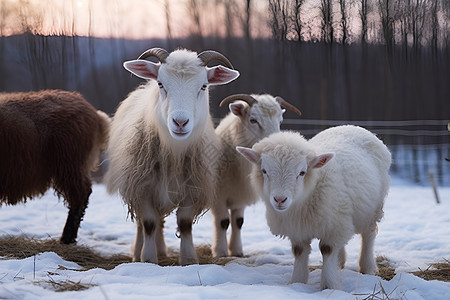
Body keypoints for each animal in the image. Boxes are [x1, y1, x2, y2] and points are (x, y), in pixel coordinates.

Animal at [104, 47, 241, 264]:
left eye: (204, 86)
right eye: (161, 84)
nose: (180, 122)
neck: (174, 151)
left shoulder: (192, 187)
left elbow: (184, 223)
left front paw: (189, 259)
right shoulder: (143, 187)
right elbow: (148, 223)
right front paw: (148, 258)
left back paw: (161, 250)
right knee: (143, 224)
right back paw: (138, 252)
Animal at [212, 94, 302, 258]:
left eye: (280, 121)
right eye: (253, 120)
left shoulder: (239, 195)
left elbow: (238, 222)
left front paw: (236, 250)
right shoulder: (218, 197)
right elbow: (223, 222)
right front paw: (220, 252)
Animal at [239, 125, 390, 290]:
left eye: (302, 172)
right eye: (264, 171)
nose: (280, 199)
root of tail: (351, 126)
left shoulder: (333, 226)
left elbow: (327, 249)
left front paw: (329, 285)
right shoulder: (298, 229)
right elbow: (299, 252)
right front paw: (297, 282)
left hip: (373, 208)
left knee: (369, 235)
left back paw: (367, 267)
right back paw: (340, 262)